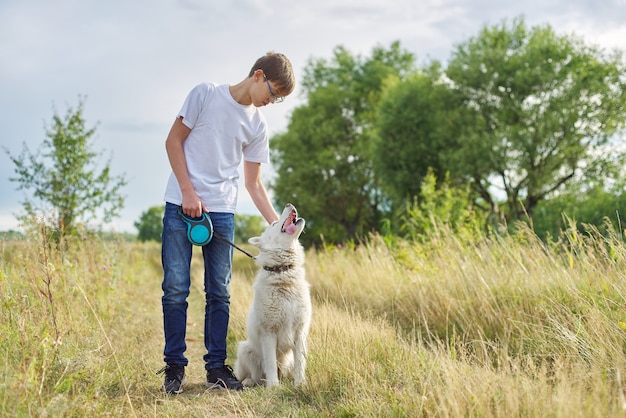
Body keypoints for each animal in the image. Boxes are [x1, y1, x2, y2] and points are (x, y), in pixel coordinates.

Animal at [233, 204, 310, 386]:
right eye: (274, 223)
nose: (289, 204)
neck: (283, 271)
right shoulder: (268, 332)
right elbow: (270, 363)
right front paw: (274, 386)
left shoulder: (300, 332)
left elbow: (300, 362)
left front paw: (300, 384)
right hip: (245, 349)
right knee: (254, 375)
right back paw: (250, 382)